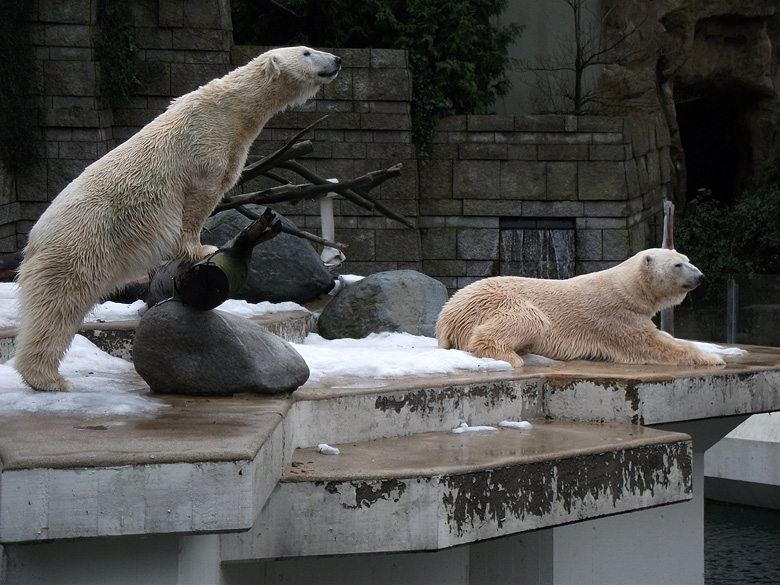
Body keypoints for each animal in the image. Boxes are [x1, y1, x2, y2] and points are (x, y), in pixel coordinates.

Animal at [15, 46, 342, 392]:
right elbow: (199, 199)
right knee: (59, 304)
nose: (337, 60)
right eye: (306, 52)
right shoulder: (204, 147)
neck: (230, 111)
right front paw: (201, 248)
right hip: (80, 244)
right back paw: (47, 379)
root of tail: (34, 239)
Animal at [438, 249, 724, 368]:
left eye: (687, 259)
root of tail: (447, 316)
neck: (626, 288)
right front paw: (713, 358)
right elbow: (652, 343)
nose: (701, 277)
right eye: (677, 265)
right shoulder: (615, 317)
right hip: (497, 300)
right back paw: (512, 356)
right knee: (531, 318)